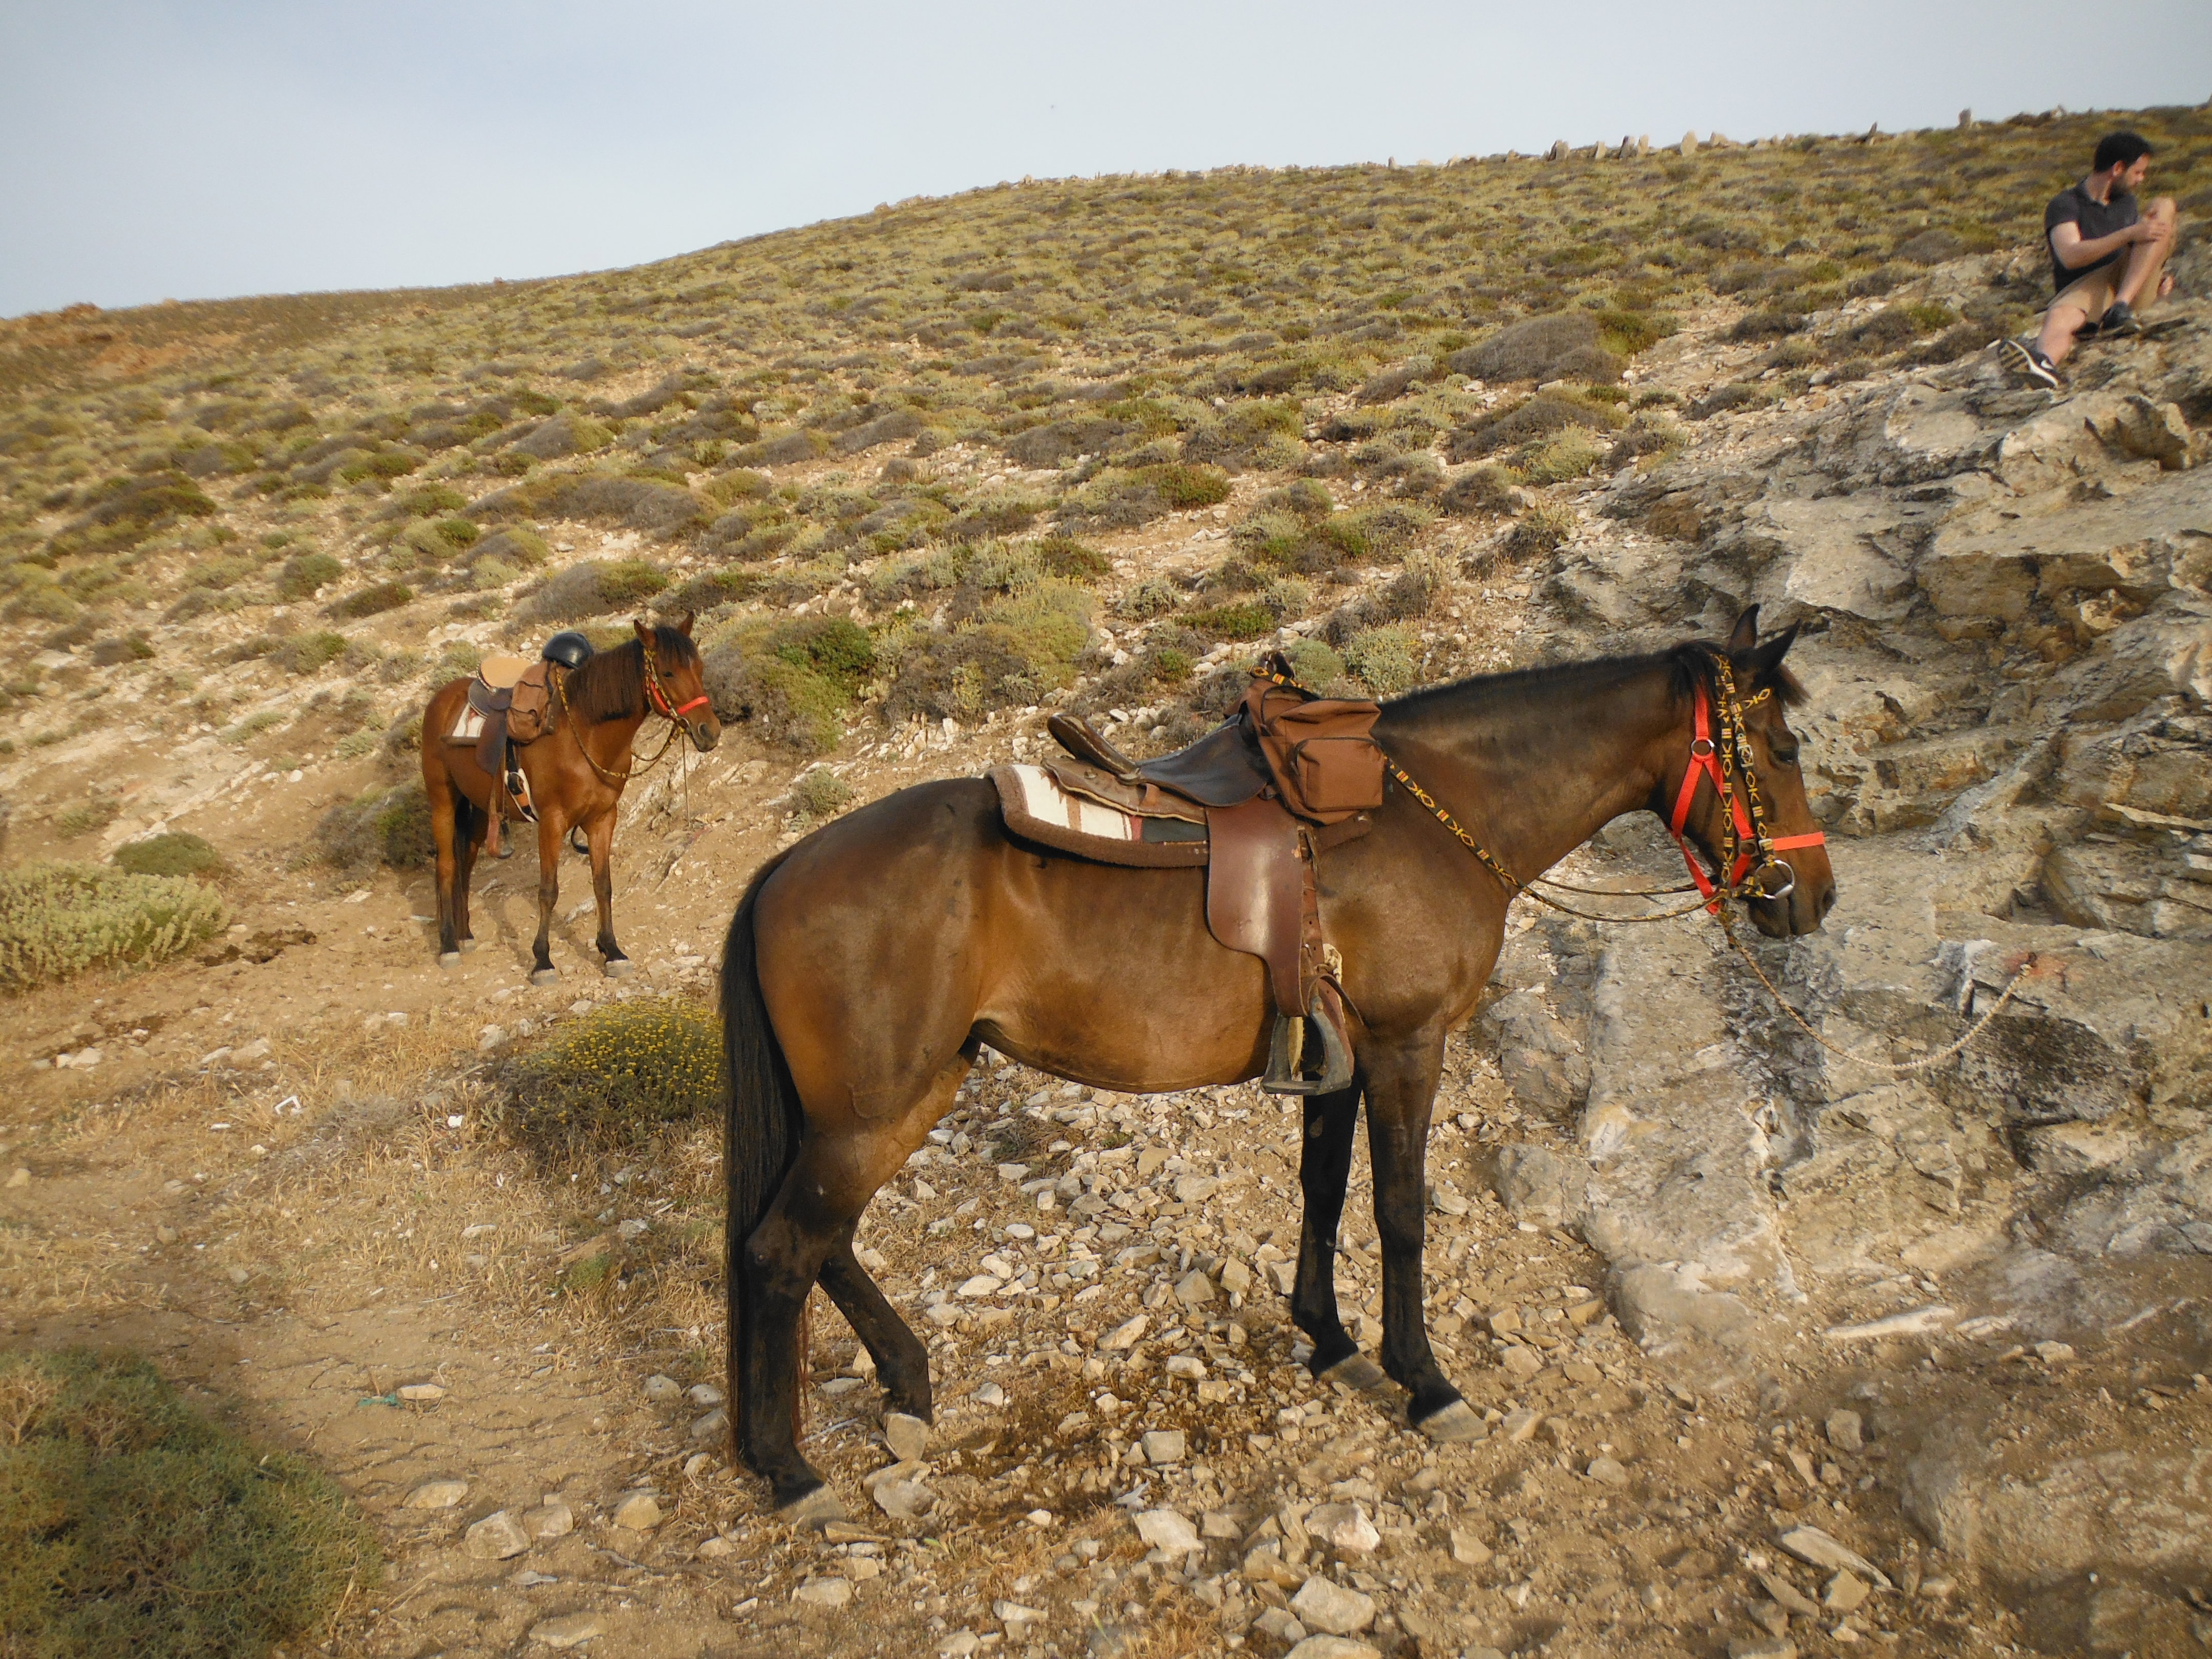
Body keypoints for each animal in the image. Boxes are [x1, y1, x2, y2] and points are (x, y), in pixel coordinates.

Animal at [420, 617, 720, 984]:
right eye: (668, 673)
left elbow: (603, 885)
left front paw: (612, 951)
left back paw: (464, 935)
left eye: (699, 668)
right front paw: (542, 960)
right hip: (443, 800)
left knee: (465, 861)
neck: (584, 735)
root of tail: (442, 698)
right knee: (447, 866)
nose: (710, 731)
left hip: (478, 808)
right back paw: (448, 944)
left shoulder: (603, 819)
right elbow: (548, 891)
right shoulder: (552, 821)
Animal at [718, 609, 1835, 1522]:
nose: (1811, 898)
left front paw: (1327, 1336)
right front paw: (1424, 1382)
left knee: (823, 1242)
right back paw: (789, 1469)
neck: (1437, 816)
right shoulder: (1406, 1045)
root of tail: (782, 869)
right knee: (781, 1250)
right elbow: (1399, 1210)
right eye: (1781, 748)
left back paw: (906, 1384)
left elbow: (1323, 1188)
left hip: (904, 1093)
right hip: (873, 1109)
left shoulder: (1337, 1057)